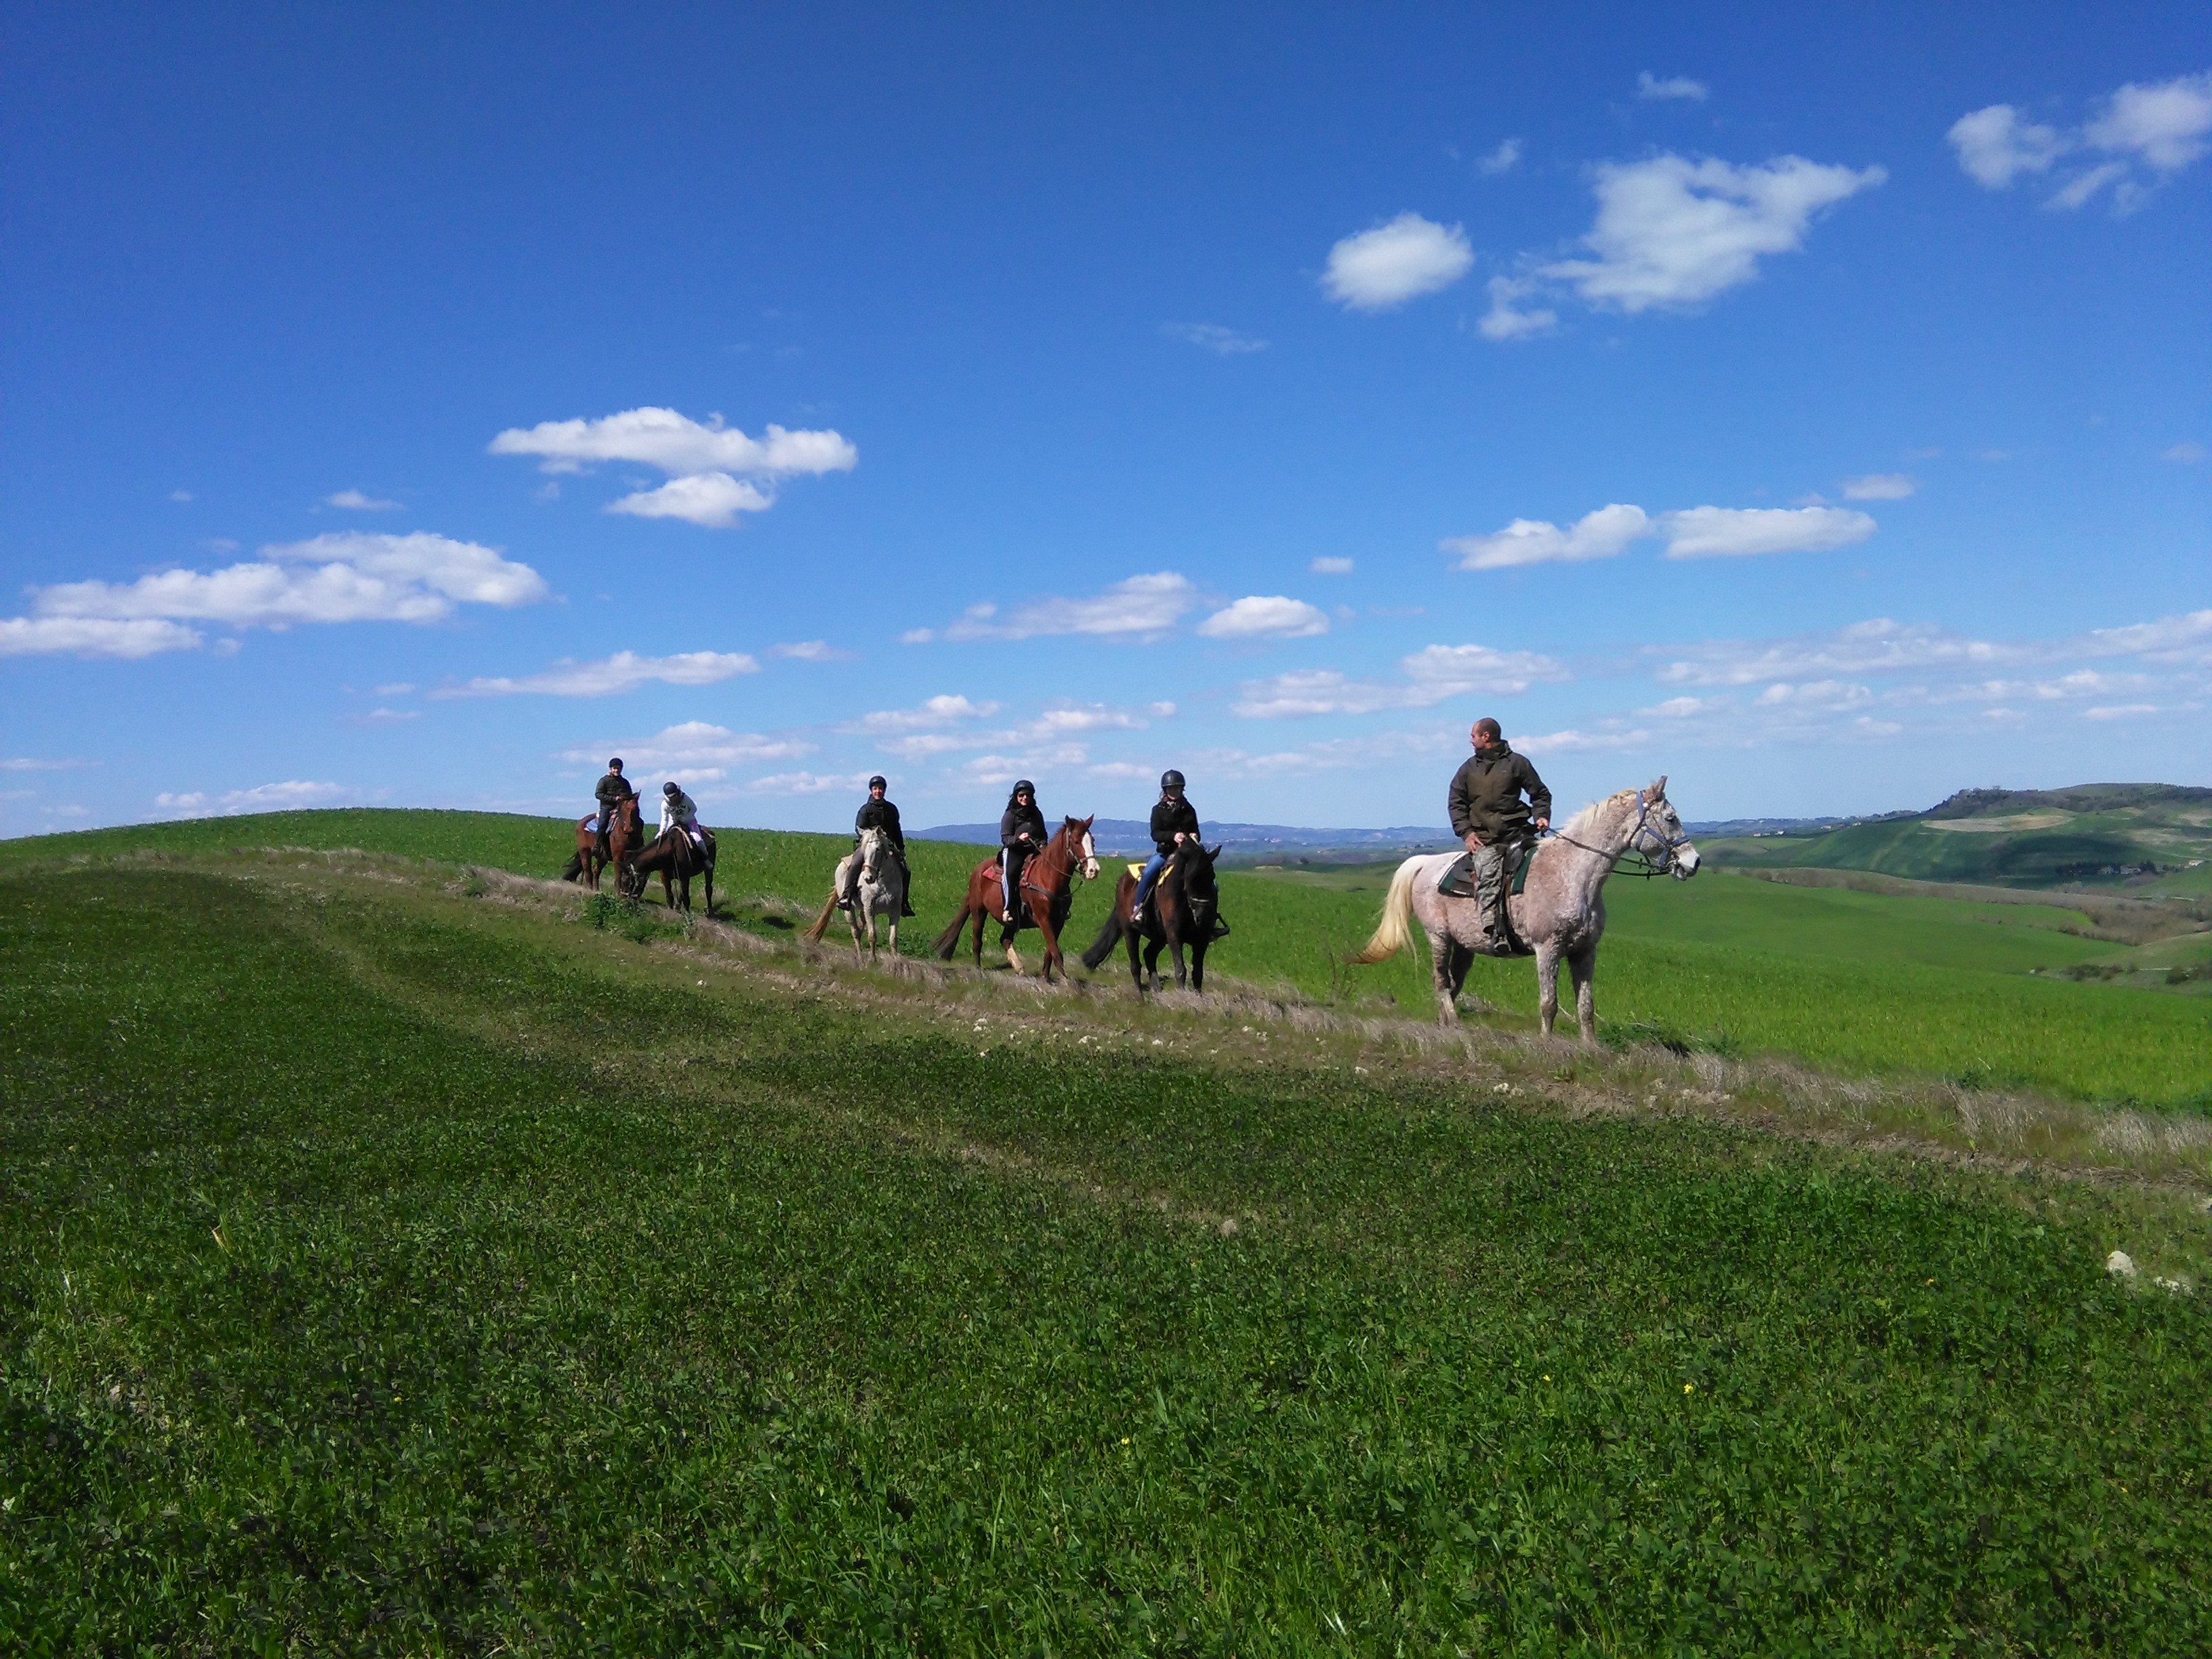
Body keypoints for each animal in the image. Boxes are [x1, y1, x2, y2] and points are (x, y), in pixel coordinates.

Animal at [566, 796, 646, 898]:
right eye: (623, 810)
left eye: (637, 809)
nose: (629, 829)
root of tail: (581, 822)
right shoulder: (617, 858)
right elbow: (619, 876)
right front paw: (618, 894)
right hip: (585, 852)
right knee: (588, 872)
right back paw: (590, 890)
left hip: (603, 857)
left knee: (596, 870)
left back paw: (597, 890)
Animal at [805, 827, 907, 960]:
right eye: (864, 850)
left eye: (878, 849)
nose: (868, 878)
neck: (882, 883)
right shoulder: (870, 909)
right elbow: (872, 936)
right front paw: (873, 960)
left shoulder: (895, 910)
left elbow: (893, 939)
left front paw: (896, 961)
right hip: (849, 910)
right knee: (855, 932)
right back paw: (860, 957)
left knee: (859, 928)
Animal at [928, 823, 1101, 986]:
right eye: (1076, 841)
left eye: (1093, 841)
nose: (1094, 870)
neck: (1049, 877)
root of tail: (977, 871)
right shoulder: (1043, 919)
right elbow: (1056, 952)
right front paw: (1065, 981)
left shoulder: (1058, 922)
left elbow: (1050, 950)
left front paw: (1045, 978)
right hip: (979, 911)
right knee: (977, 941)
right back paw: (978, 970)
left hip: (1012, 919)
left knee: (1005, 939)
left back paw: (1018, 967)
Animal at [1084, 849, 1229, 995]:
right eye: (1189, 879)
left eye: (1211, 876)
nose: (1202, 915)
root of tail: (1122, 881)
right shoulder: (1174, 935)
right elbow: (1180, 969)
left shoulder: (1202, 940)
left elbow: (1198, 973)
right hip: (1130, 931)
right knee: (1135, 965)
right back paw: (1140, 996)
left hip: (1159, 937)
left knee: (1149, 954)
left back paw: (1156, 989)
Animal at [1345, 778, 1689, 1040]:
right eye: (1670, 818)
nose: (1693, 862)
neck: (1573, 873)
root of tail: (1424, 864)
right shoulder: (1547, 949)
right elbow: (1549, 1003)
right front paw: (1548, 1045)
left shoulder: (1585, 951)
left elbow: (1586, 1006)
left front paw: (1590, 1048)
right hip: (1439, 937)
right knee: (1441, 982)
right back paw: (1454, 1025)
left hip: (1464, 946)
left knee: (1453, 984)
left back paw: (1445, 1028)